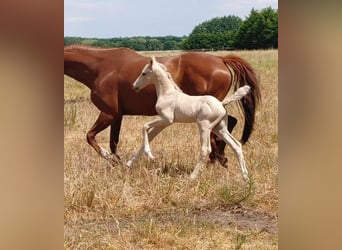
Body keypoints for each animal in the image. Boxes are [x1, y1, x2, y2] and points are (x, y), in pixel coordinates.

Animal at [64, 45, 260, 166]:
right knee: (230, 123)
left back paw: (215, 158)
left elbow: (90, 136)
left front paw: (109, 158)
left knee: (224, 127)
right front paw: (117, 161)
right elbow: (113, 141)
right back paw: (219, 157)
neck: (101, 67)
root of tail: (221, 59)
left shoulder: (108, 113)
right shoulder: (117, 115)